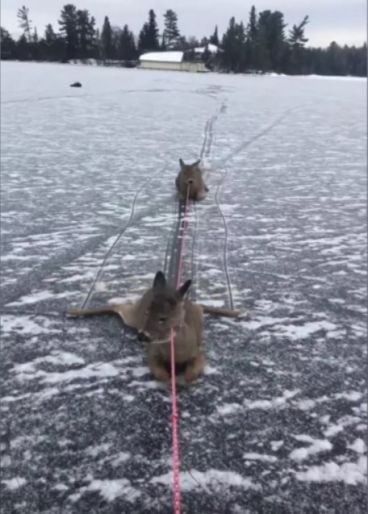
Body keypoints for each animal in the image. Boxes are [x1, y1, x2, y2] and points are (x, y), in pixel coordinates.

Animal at [66, 270, 239, 382]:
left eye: (163, 318)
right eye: (148, 312)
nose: (142, 336)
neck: (175, 353)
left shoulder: (198, 353)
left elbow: (193, 373)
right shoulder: (152, 352)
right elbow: (159, 373)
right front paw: (169, 379)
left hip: (197, 312)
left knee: (202, 306)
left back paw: (237, 312)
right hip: (134, 317)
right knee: (118, 306)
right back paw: (73, 311)